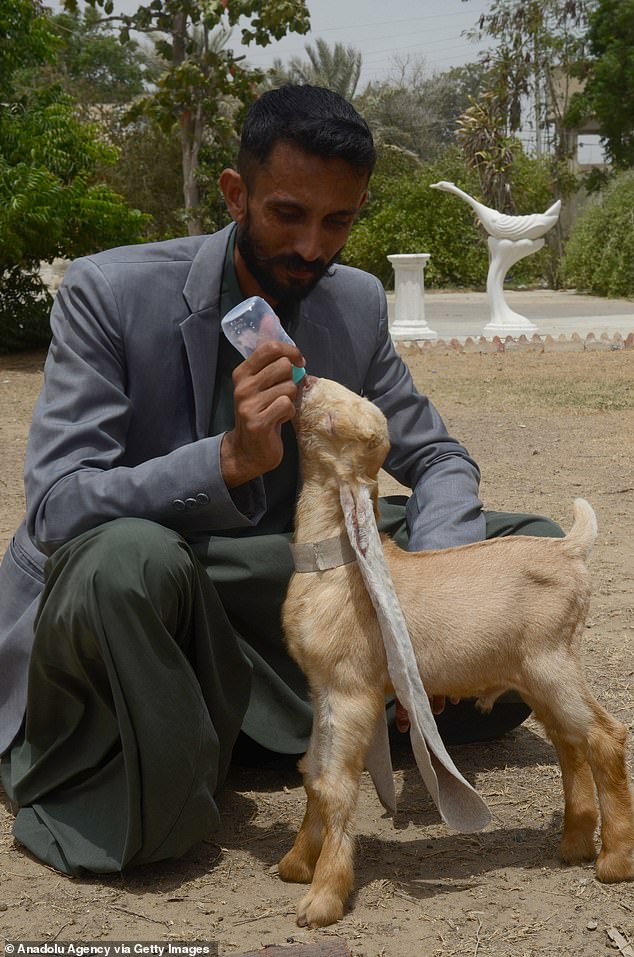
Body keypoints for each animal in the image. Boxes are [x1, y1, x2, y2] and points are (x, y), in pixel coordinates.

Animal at [280, 374, 632, 928]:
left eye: (338, 417)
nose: (305, 378)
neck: (337, 567)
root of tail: (570, 550)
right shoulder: (321, 689)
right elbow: (313, 773)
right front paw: (296, 863)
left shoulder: (349, 688)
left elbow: (335, 784)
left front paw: (322, 898)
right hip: (534, 674)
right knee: (568, 740)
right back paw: (574, 845)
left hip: (552, 661)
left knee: (604, 735)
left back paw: (614, 861)